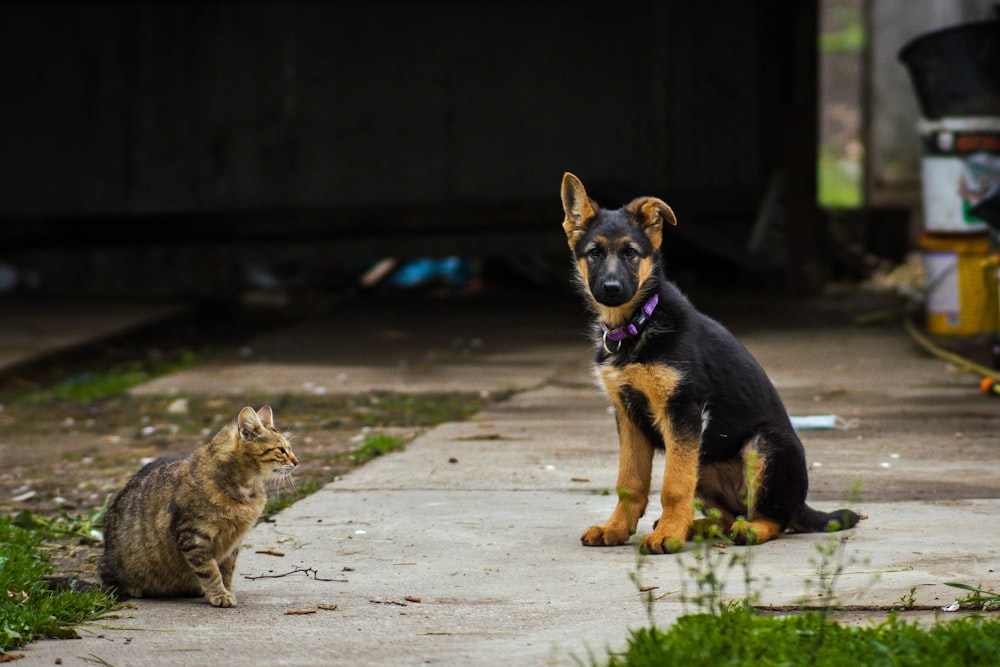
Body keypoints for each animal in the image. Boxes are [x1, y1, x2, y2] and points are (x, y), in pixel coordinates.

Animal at [97, 404, 296, 608]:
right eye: (281, 450)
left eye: (289, 448)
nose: (296, 462)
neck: (245, 488)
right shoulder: (194, 536)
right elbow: (210, 571)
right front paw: (220, 594)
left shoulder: (232, 542)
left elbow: (226, 571)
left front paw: (226, 590)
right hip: (117, 563)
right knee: (107, 580)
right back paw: (132, 588)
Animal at [564, 171, 860, 552]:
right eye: (594, 253)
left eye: (631, 253)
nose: (612, 289)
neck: (638, 323)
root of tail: (801, 505)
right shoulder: (627, 415)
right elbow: (630, 482)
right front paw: (615, 528)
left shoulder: (683, 412)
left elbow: (674, 486)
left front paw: (667, 536)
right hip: (704, 458)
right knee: (728, 515)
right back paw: (698, 528)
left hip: (762, 445)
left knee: (773, 520)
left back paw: (743, 531)